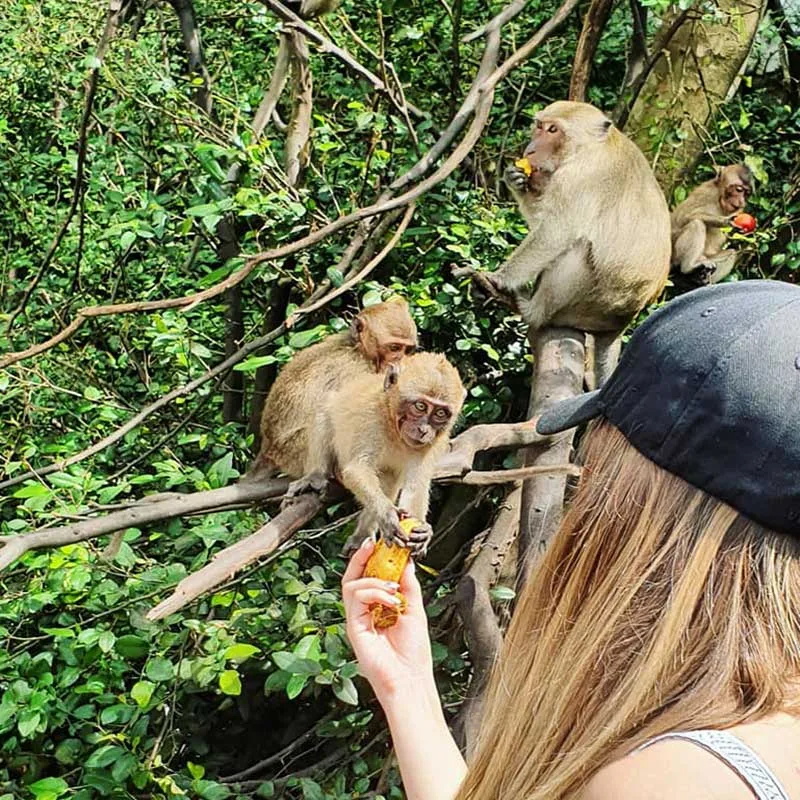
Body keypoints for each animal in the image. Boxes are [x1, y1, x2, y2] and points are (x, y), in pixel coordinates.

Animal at [251, 298, 417, 478]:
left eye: (408, 349)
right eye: (394, 348)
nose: (401, 360)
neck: (359, 351)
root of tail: (268, 450)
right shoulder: (355, 372)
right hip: (294, 452)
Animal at [283, 352, 466, 555]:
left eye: (440, 413)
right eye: (420, 406)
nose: (424, 430)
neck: (395, 430)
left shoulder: (433, 443)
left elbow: (415, 486)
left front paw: (422, 530)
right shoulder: (372, 419)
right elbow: (357, 469)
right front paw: (387, 514)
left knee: (389, 478)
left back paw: (362, 535)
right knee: (325, 411)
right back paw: (315, 475)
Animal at [462, 101, 671, 387]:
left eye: (554, 130)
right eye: (539, 126)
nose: (530, 149)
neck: (591, 146)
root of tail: (621, 325)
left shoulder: (579, 177)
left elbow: (555, 232)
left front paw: (499, 278)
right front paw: (517, 182)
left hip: (589, 303)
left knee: (577, 247)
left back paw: (532, 309)